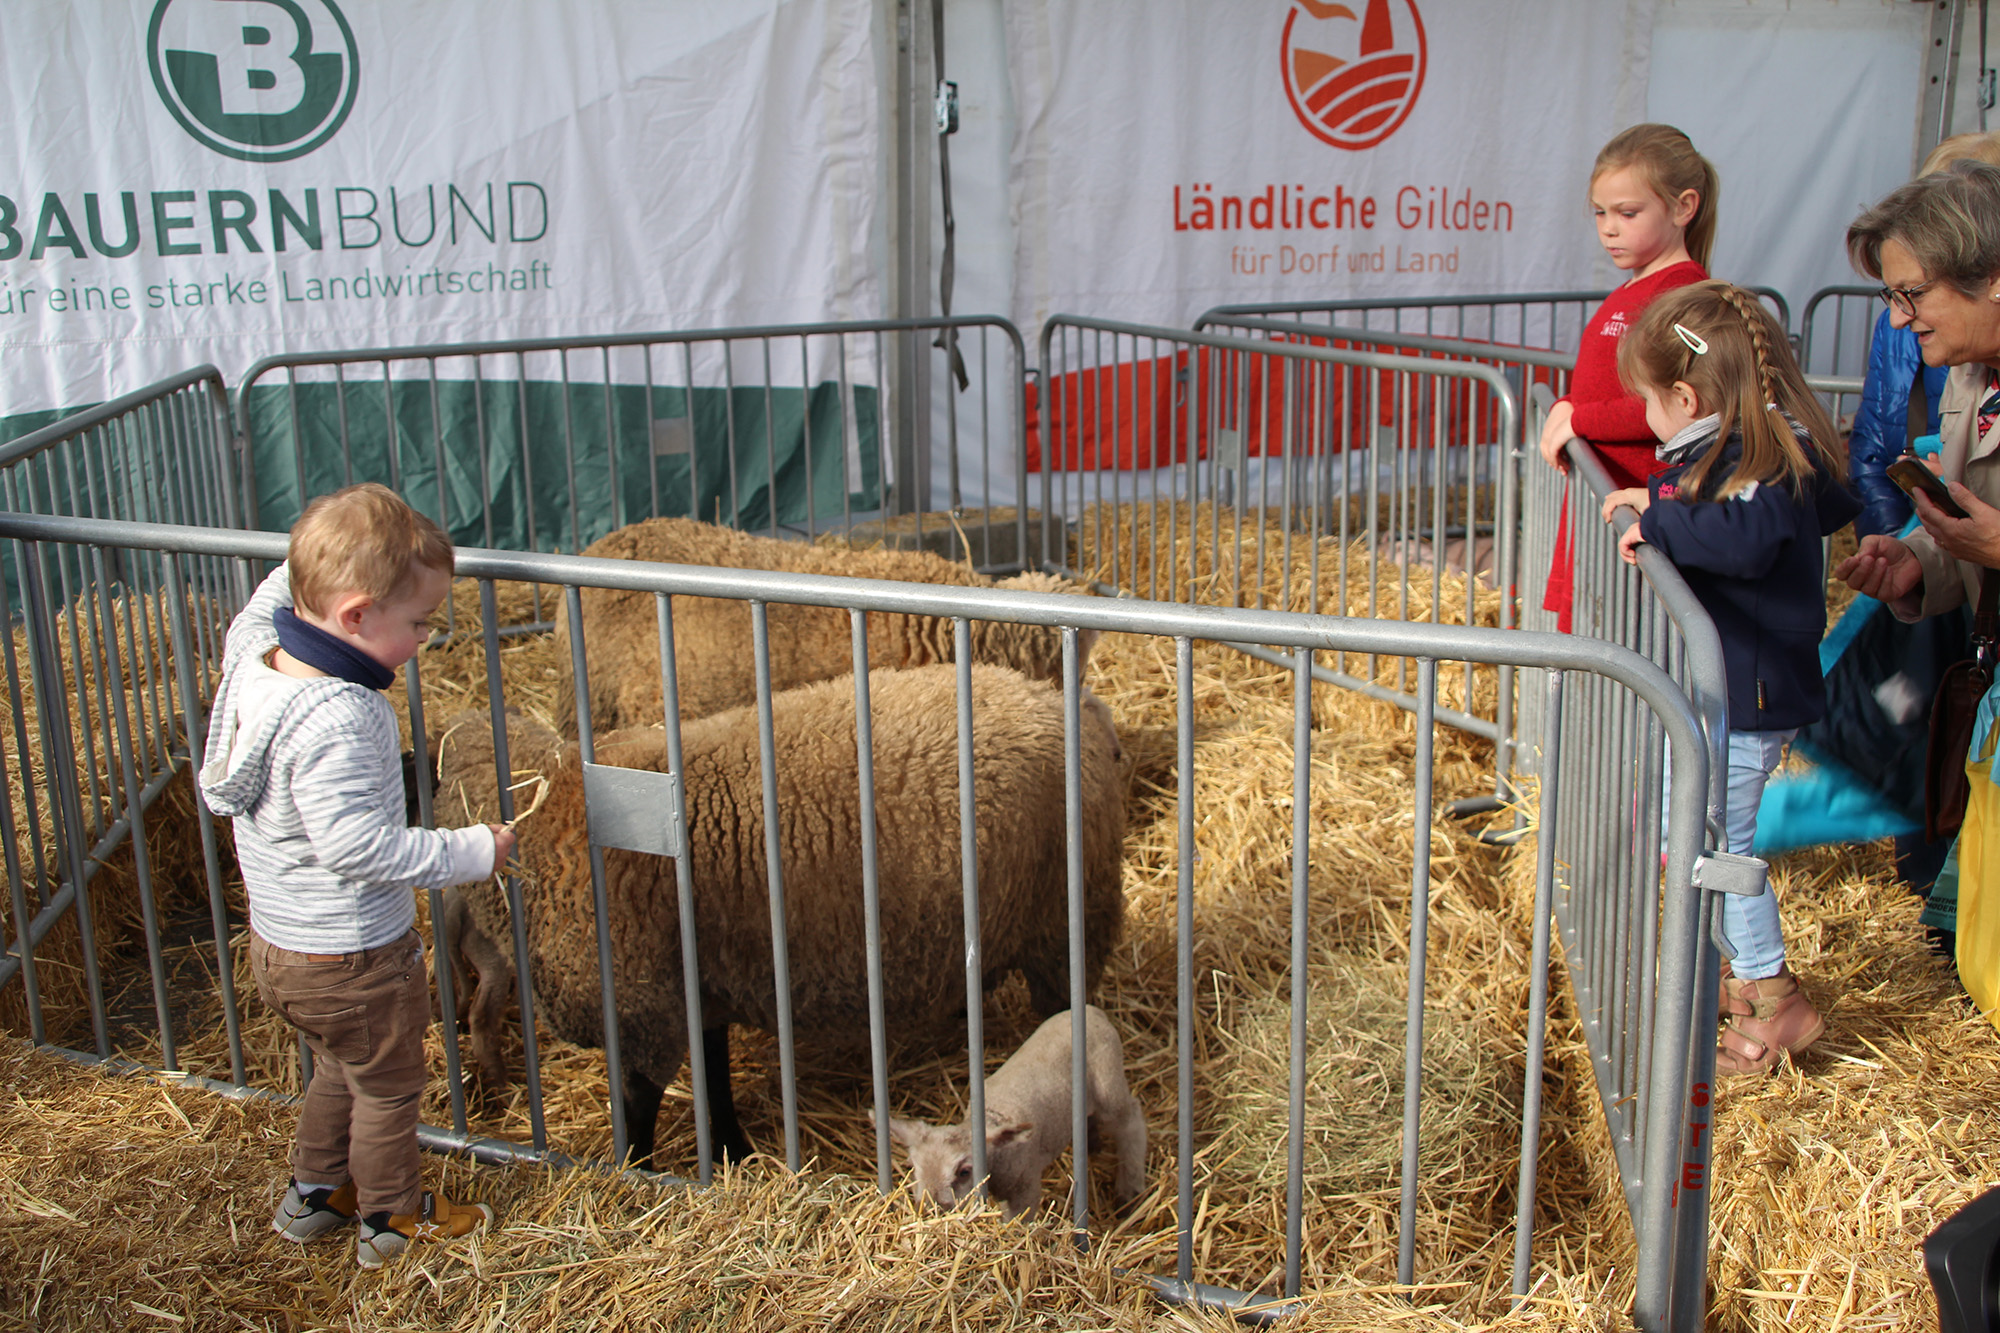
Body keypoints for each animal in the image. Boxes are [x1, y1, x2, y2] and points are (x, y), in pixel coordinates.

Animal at [434, 660, 1128, 1168]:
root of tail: (1061, 703)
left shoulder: (640, 1013)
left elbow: (637, 1111)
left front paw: (637, 1179)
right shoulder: (697, 991)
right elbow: (714, 1076)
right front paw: (734, 1155)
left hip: (1067, 927)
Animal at [888, 1008, 1152, 1216]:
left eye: (964, 1172)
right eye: (913, 1166)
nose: (930, 1209)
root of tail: (1093, 1011)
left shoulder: (1025, 1185)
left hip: (1109, 1084)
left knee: (1132, 1122)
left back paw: (1129, 1190)